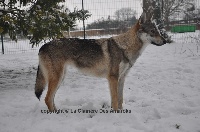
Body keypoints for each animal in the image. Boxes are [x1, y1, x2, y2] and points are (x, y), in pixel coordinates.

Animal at [34, 12, 167, 111]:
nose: (165, 41)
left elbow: (120, 100)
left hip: (60, 77)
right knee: (47, 98)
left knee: (51, 98)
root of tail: (42, 46)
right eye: (152, 32)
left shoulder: (122, 78)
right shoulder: (113, 78)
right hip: (57, 78)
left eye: (158, 31)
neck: (125, 47)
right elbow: (115, 100)